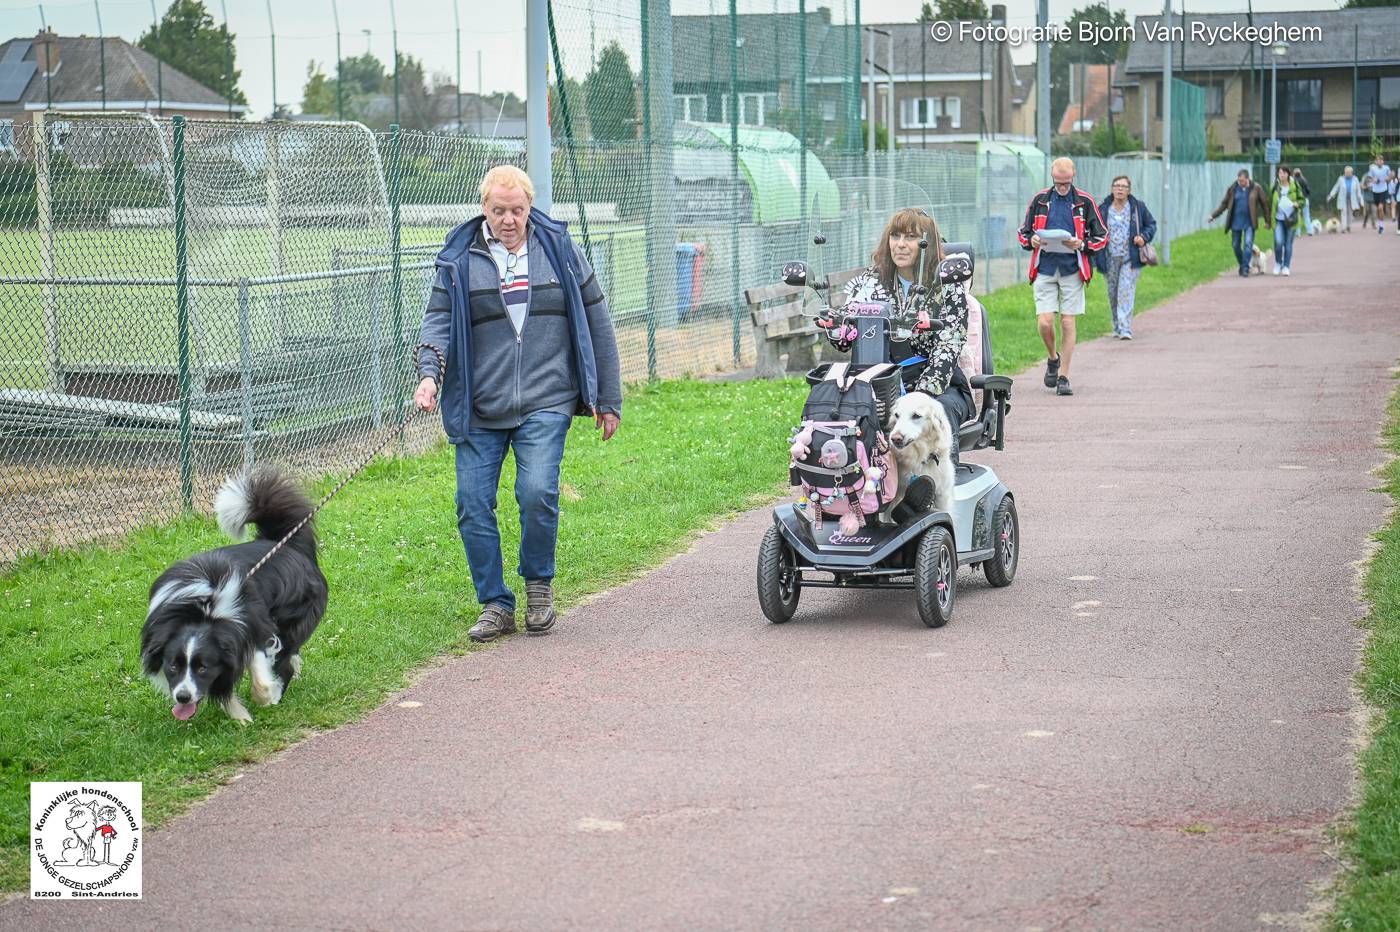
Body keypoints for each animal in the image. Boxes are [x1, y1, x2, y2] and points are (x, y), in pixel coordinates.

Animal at [142, 467, 327, 722]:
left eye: (203, 667)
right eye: (172, 666)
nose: (183, 697)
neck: (202, 610)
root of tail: (284, 544)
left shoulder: (253, 627)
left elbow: (257, 666)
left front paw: (266, 697)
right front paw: (239, 715)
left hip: (293, 616)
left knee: (285, 658)